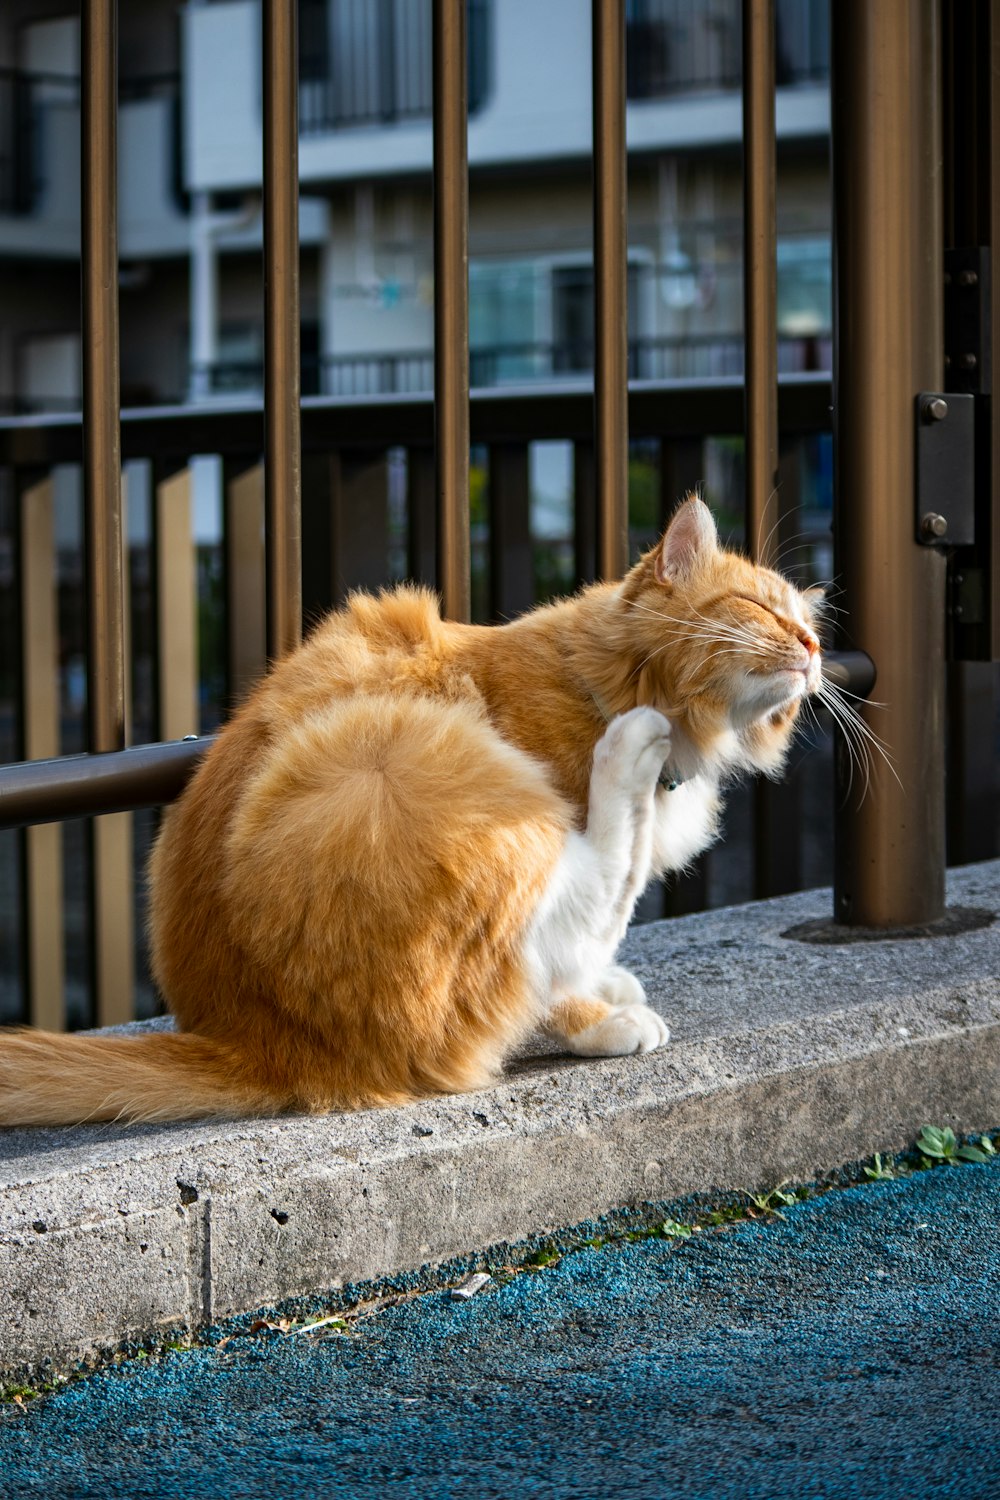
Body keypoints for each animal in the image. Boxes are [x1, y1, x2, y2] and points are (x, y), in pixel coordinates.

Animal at [0, 501, 821, 1128]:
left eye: (808, 622)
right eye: (759, 607)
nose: (814, 646)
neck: (599, 684)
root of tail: (252, 1041)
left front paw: (602, 987)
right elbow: (553, 969)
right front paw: (598, 1016)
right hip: (409, 768)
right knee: (587, 888)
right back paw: (629, 756)